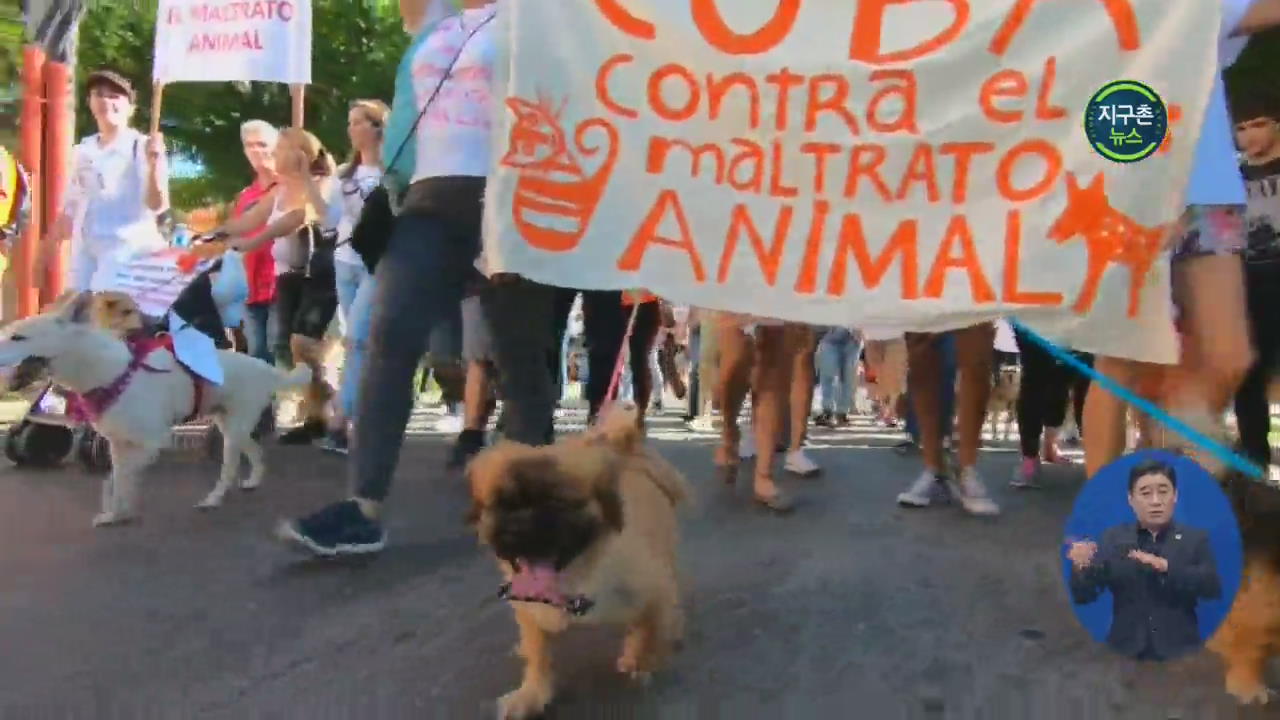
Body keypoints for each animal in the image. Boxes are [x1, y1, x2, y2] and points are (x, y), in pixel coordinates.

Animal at [0, 293, 311, 527]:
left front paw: (121, 510)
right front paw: (116, 513)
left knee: (229, 469)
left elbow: (120, 479)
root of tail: (266, 367)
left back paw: (213, 499)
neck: (110, 373)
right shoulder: (118, 444)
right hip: (231, 425)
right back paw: (253, 480)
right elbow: (114, 480)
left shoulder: (151, 443)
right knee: (255, 451)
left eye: (18, 338)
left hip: (233, 432)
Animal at [468, 407, 691, 712]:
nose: (519, 524)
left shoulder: (655, 590)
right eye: (503, 505)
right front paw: (533, 693)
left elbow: (650, 631)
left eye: (559, 504)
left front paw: (640, 658)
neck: (575, 582)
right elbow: (538, 655)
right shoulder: (529, 611)